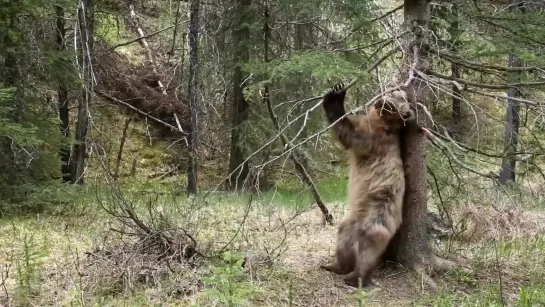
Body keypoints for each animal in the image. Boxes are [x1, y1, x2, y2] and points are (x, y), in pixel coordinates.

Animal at [318, 83, 412, 288]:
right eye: (394, 92)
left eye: (399, 100)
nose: (383, 101)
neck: (381, 123)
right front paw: (336, 89)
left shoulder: (373, 139)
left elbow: (350, 134)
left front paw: (335, 99)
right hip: (351, 222)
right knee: (343, 238)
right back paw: (335, 266)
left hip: (378, 214)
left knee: (369, 246)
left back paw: (356, 277)